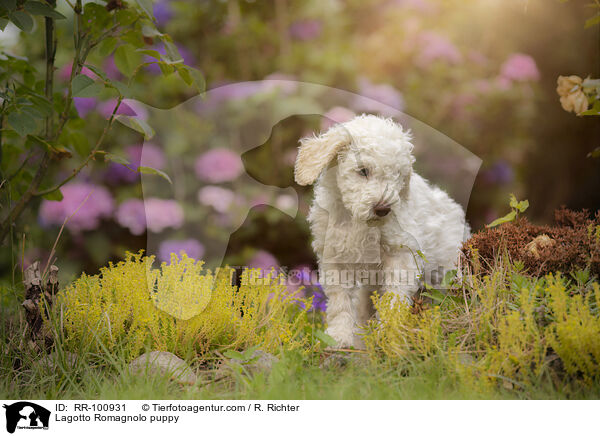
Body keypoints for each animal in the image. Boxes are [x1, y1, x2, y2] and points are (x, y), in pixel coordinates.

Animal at [296, 114, 468, 350]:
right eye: (363, 171)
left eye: (397, 176)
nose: (383, 209)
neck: (358, 221)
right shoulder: (334, 259)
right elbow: (340, 302)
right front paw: (339, 337)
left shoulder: (400, 254)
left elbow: (394, 297)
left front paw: (387, 335)